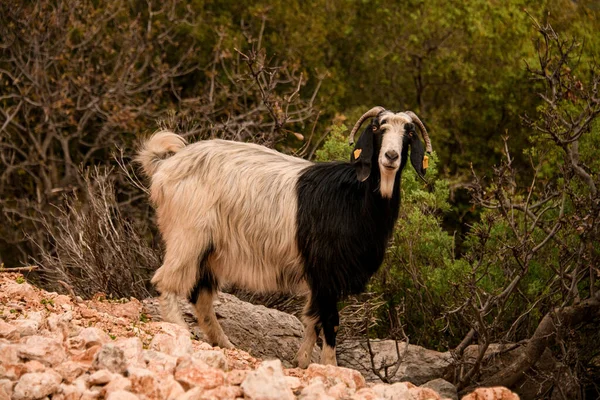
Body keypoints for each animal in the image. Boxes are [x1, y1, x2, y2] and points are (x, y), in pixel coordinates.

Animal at [138, 105, 434, 366]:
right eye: (376, 128)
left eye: (408, 133)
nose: (391, 156)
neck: (354, 196)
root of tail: (167, 165)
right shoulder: (326, 270)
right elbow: (329, 320)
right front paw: (330, 365)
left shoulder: (317, 276)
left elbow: (312, 318)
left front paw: (302, 361)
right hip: (187, 235)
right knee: (166, 281)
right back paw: (180, 330)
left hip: (211, 250)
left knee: (201, 297)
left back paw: (225, 344)